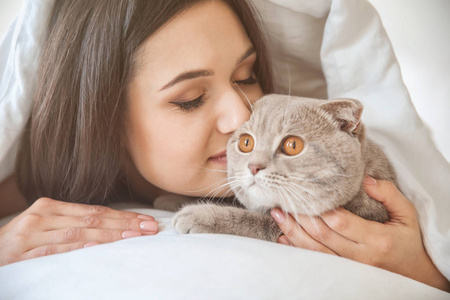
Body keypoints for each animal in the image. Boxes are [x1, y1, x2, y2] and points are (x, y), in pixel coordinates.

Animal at [171, 95, 398, 243]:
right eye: (246, 142)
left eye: (292, 145)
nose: (254, 166)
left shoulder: (370, 212)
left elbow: (258, 221)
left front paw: (201, 214)